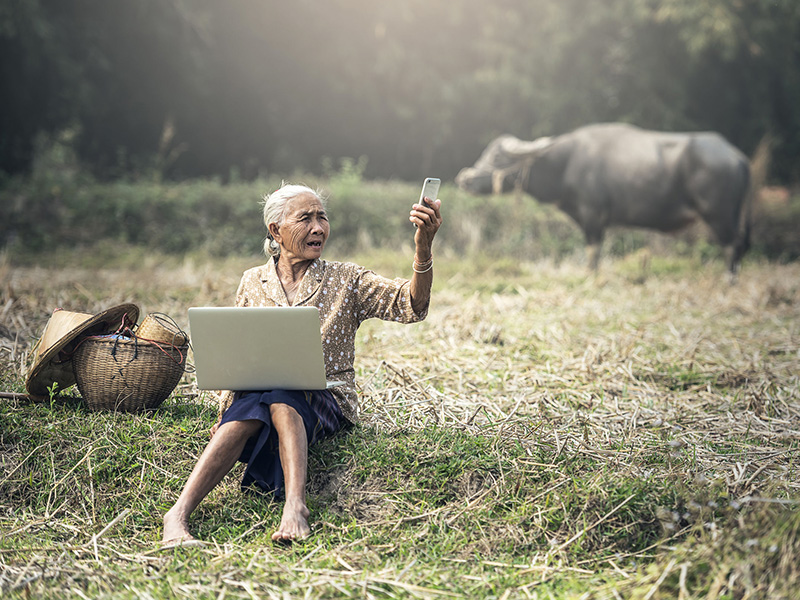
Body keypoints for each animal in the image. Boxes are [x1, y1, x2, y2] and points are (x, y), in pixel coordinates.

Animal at [456, 123, 756, 274]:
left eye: (496, 157)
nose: (465, 179)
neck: (566, 163)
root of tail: (737, 156)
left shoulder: (593, 215)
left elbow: (593, 252)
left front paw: (591, 276)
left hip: (718, 214)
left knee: (732, 246)